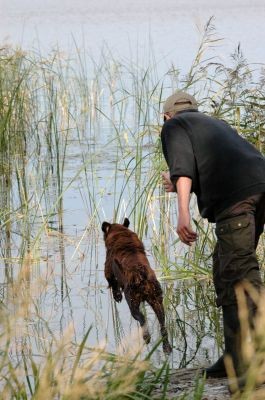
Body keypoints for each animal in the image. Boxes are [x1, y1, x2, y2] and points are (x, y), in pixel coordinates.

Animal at [100, 219, 171, 354]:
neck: (121, 233)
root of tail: (142, 275)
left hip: (133, 303)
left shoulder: (108, 270)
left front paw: (117, 296)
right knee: (163, 325)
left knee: (142, 319)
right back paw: (167, 348)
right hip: (157, 303)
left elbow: (113, 284)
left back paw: (146, 337)